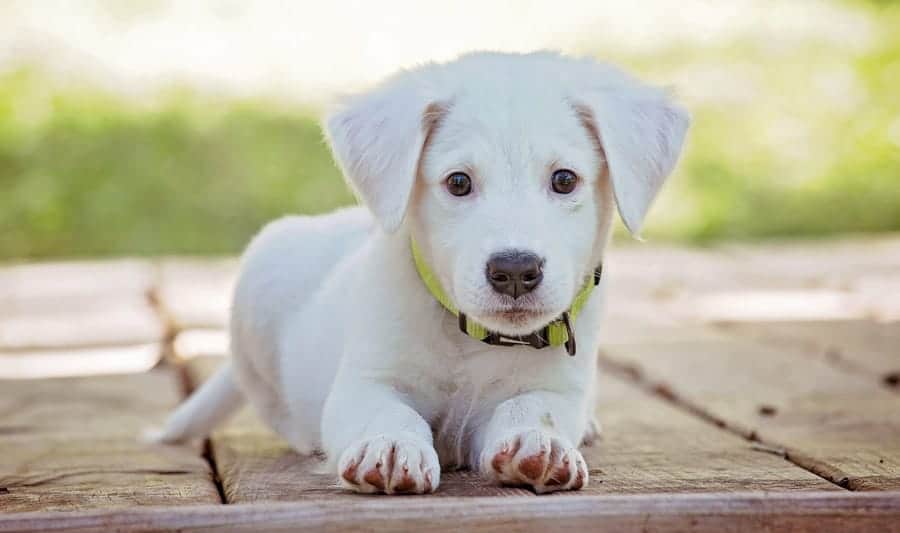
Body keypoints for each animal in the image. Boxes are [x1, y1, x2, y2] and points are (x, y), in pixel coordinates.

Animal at [156, 52, 688, 492]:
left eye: (564, 180)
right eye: (458, 183)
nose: (515, 270)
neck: (470, 340)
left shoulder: (556, 388)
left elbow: (533, 408)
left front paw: (538, 442)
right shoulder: (365, 382)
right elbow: (388, 412)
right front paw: (390, 447)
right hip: (260, 283)